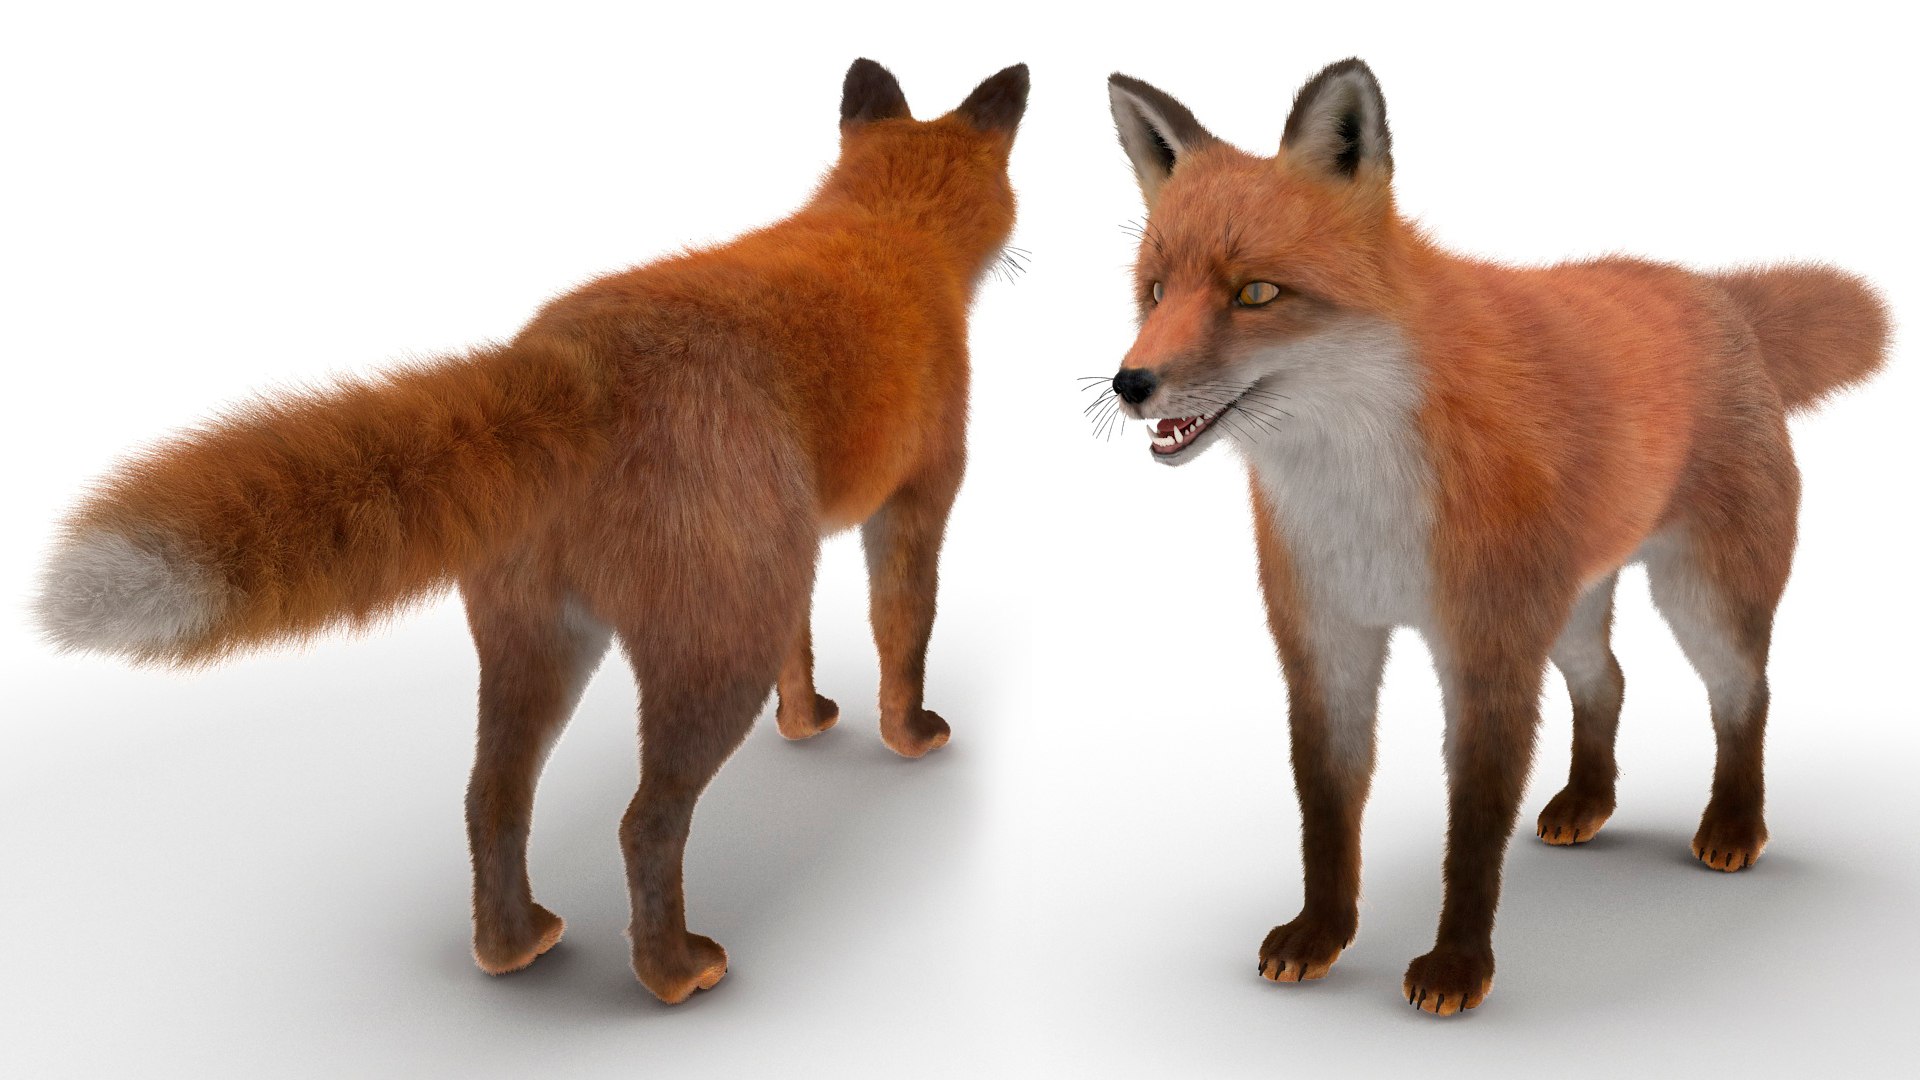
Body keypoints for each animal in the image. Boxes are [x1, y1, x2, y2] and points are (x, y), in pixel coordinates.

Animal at [33, 58, 1029, 1004]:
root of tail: (568, 366)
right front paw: (908, 735)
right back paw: (674, 971)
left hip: (545, 642)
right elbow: (904, 630)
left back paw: (511, 947)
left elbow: (807, 645)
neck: (888, 222)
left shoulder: (801, 545)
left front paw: (807, 720)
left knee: (491, 798)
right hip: (711, 651)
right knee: (644, 823)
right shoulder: (914, 501)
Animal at [1102, 59, 1889, 1015]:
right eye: (1154, 292)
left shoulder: (1486, 655)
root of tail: (1713, 290)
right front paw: (1323, 934)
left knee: (1748, 694)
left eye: (1255, 293)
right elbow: (1326, 816)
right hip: (1572, 608)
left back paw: (1735, 824)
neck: (1360, 490)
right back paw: (1588, 801)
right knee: (1610, 680)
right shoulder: (1325, 645)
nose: (1129, 384)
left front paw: (1457, 967)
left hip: (1699, 601)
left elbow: (1473, 836)